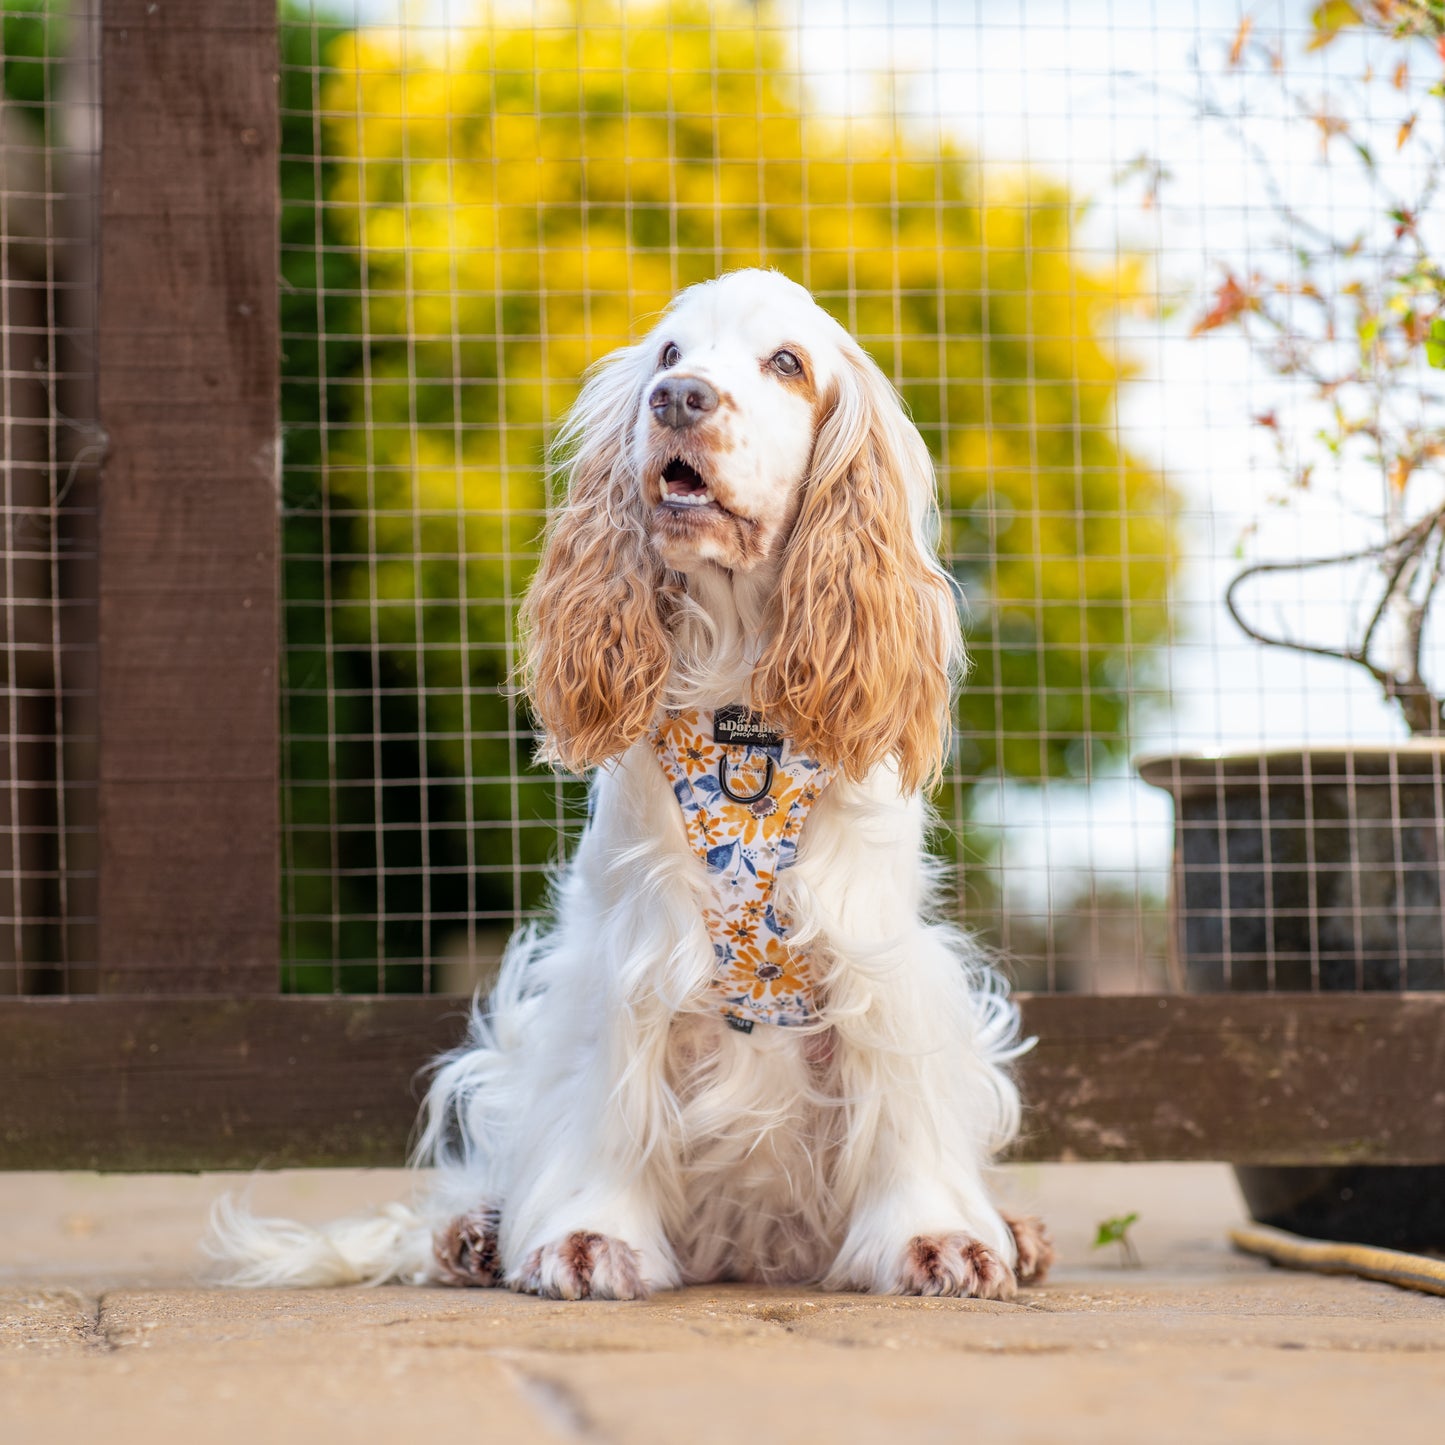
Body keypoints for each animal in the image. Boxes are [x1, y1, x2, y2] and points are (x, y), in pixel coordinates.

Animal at [210, 268, 1051, 1300]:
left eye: (786, 362)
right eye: (670, 353)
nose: (678, 399)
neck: (738, 703)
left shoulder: (878, 954)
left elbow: (903, 1108)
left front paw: (941, 1237)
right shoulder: (625, 956)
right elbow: (606, 1110)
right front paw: (587, 1237)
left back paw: (1018, 1230)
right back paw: (473, 1232)